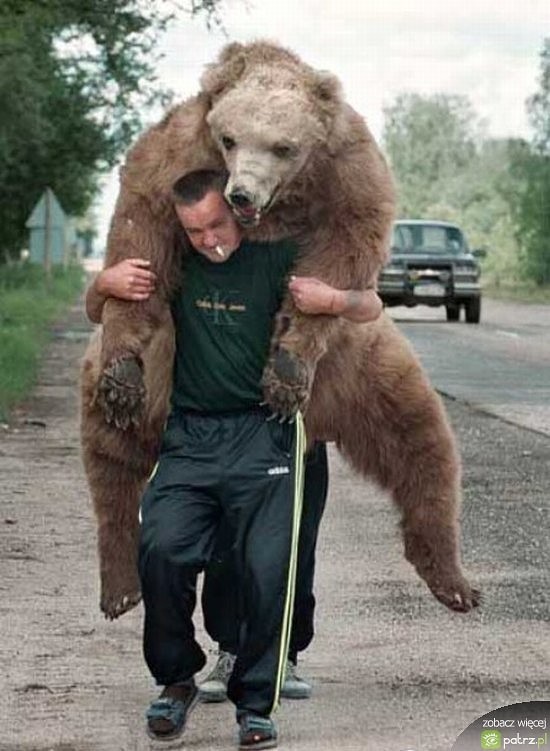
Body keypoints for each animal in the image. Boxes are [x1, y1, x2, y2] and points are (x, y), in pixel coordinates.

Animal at [80, 38, 480, 620]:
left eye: (283, 146)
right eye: (229, 138)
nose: (241, 194)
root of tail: (325, 417)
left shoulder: (347, 174)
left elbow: (343, 253)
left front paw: (286, 369)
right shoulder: (173, 158)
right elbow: (140, 237)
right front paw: (121, 374)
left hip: (365, 365)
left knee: (421, 440)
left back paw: (453, 580)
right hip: (161, 371)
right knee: (113, 458)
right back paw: (120, 584)